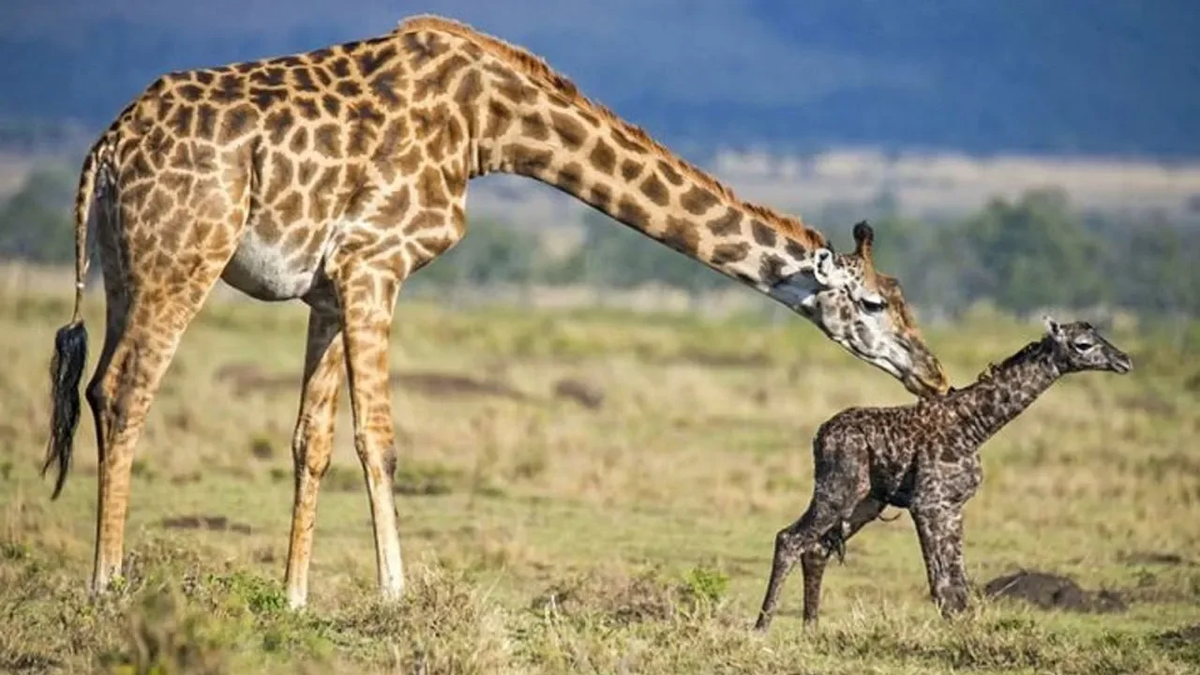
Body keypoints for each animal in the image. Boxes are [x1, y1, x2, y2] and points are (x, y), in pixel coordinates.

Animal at [42, 14, 950, 605]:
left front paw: (294, 599)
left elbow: (313, 441)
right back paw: (104, 584)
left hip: (127, 268)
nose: (932, 374)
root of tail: (107, 147)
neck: (491, 125)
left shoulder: (331, 284)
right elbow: (381, 439)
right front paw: (395, 593)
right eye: (876, 303)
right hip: (183, 259)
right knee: (124, 391)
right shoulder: (377, 261)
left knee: (98, 387)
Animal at [753, 317, 1128, 629]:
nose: (1124, 360)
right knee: (789, 539)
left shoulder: (952, 505)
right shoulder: (928, 503)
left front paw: (965, 630)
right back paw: (762, 627)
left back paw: (811, 629)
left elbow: (958, 580)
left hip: (865, 502)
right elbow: (942, 583)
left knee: (816, 549)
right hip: (839, 490)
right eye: (1083, 344)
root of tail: (819, 435)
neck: (974, 427)